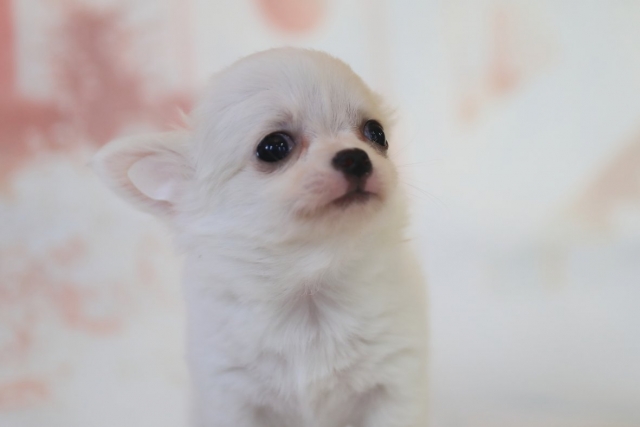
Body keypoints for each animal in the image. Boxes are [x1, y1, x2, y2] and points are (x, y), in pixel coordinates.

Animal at [93, 48, 428, 427]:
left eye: (376, 133)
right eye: (273, 147)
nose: (356, 157)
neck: (310, 293)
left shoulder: (394, 382)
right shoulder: (232, 394)